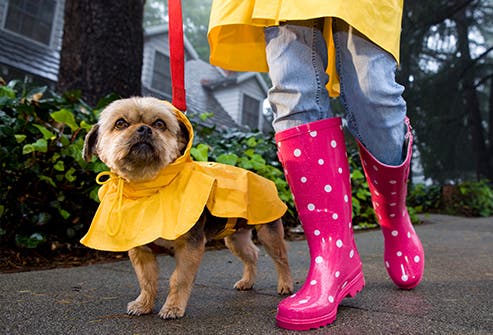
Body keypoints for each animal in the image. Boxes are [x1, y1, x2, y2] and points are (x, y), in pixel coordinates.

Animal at [82, 96, 294, 320]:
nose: (144, 129)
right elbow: (147, 280)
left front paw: (173, 307)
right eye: (120, 123)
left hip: (269, 233)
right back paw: (247, 281)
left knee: (282, 258)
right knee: (252, 254)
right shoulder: (141, 251)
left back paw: (286, 285)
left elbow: (179, 279)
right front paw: (143, 304)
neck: (149, 187)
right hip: (235, 238)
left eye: (160, 124)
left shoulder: (190, 247)